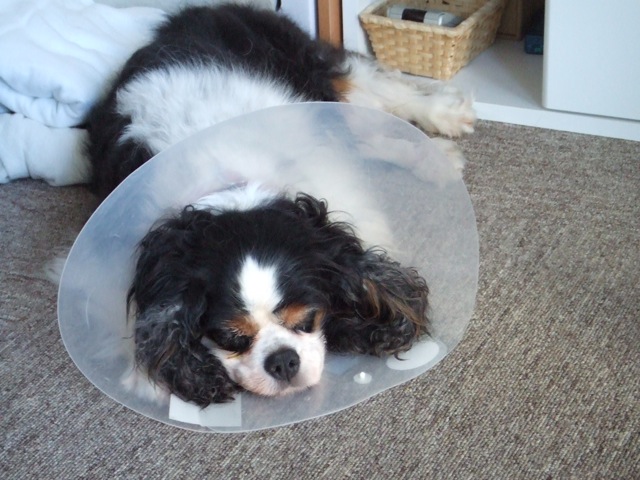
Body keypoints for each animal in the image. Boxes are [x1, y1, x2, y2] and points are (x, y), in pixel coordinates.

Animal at [86, 2, 475, 407]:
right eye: (231, 337)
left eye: (306, 319)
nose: (283, 360)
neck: (233, 186)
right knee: (363, 135)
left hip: (312, 66)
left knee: (374, 91)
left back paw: (443, 124)